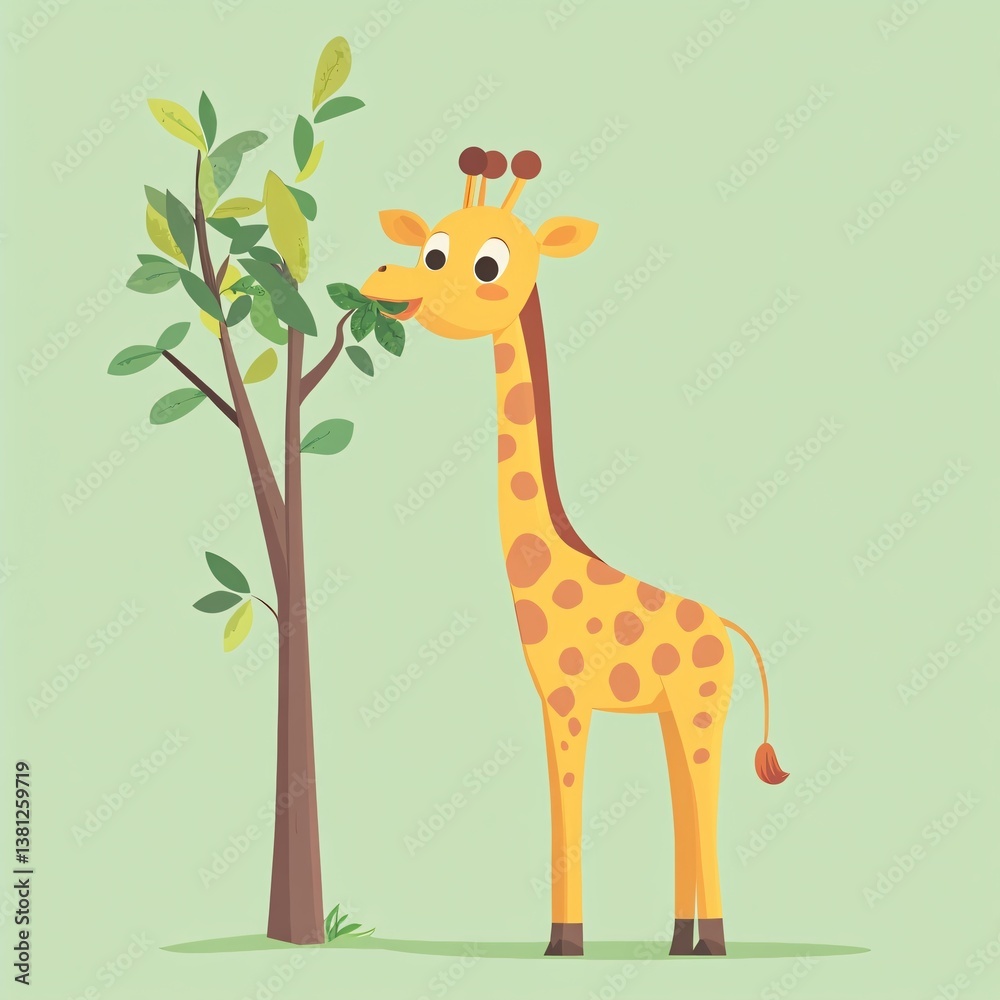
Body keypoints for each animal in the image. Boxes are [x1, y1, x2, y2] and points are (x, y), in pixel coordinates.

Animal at [361, 147, 788, 958]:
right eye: (429, 244)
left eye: (486, 263)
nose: (382, 278)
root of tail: (729, 630)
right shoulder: (553, 701)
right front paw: (570, 939)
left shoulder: (565, 700)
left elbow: (568, 806)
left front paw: (564, 942)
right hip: (672, 712)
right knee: (685, 806)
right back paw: (682, 943)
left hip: (702, 709)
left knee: (705, 801)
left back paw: (713, 943)